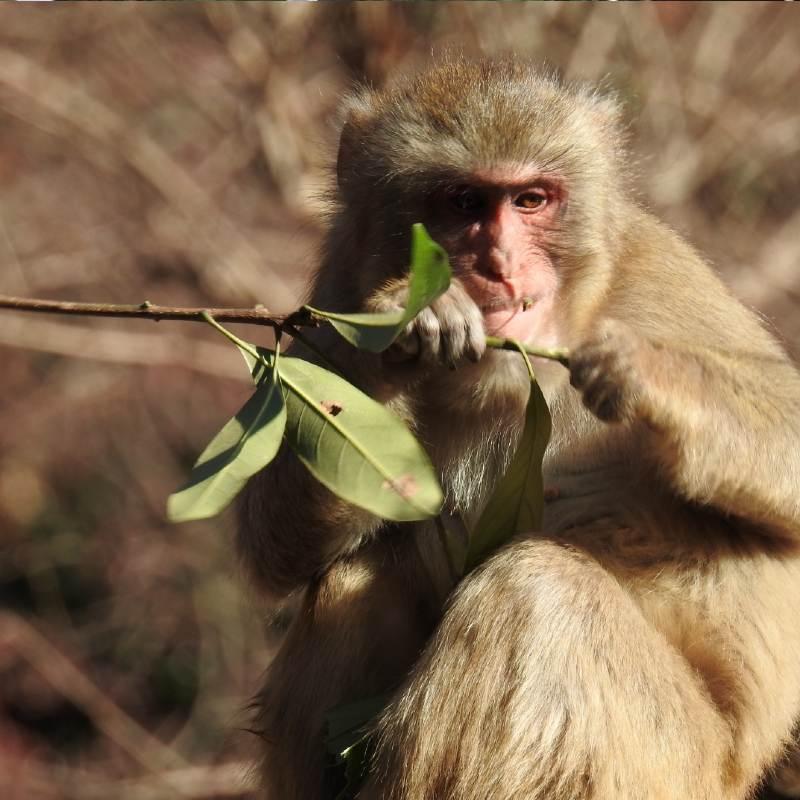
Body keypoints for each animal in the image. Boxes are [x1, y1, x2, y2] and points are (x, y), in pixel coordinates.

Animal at [236, 61, 800, 800]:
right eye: (463, 202)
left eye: (532, 200)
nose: (499, 264)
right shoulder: (334, 307)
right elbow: (274, 544)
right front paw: (407, 320)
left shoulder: (659, 276)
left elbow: (789, 423)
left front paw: (653, 372)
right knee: (356, 576)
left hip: (679, 767)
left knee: (538, 593)